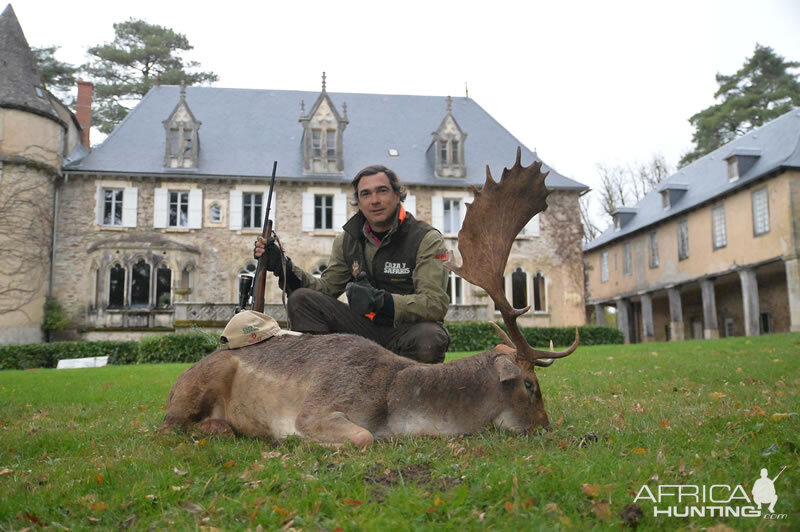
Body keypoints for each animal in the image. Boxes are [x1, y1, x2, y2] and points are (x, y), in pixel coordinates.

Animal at [161, 148, 576, 446]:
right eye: (530, 386)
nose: (546, 426)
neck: (392, 405)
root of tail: (177, 382)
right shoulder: (316, 409)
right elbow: (362, 438)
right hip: (195, 389)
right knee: (167, 425)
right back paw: (218, 427)